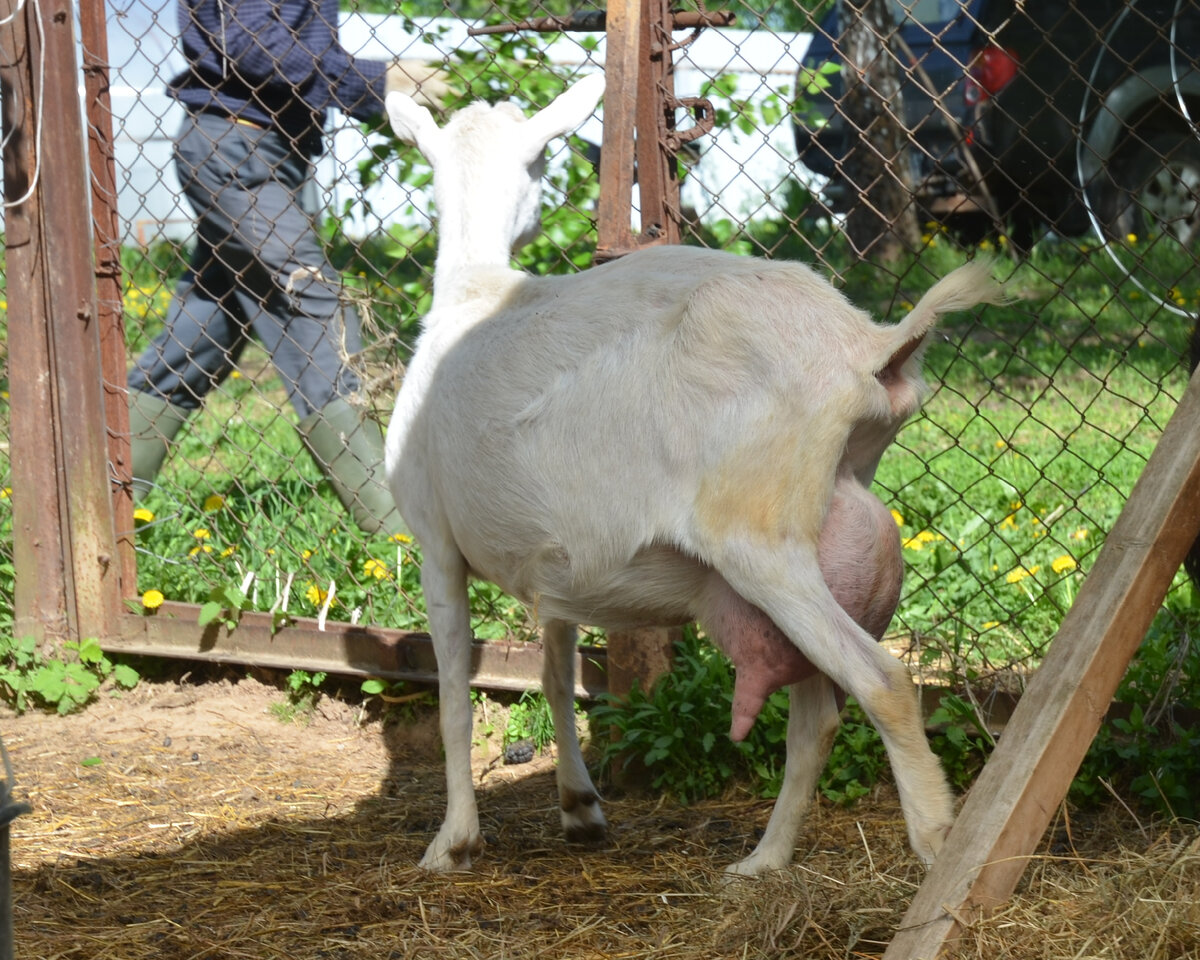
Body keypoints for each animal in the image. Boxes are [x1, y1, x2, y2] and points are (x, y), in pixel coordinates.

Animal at [381, 76, 1003, 878]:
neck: (475, 289)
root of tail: (873, 348)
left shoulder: (435, 541)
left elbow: (454, 691)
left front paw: (451, 841)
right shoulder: (552, 559)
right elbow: (553, 672)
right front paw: (579, 807)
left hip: (760, 536)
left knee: (884, 683)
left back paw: (935, 844)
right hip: (826, 539)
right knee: (818, 718)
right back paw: (763, 862)